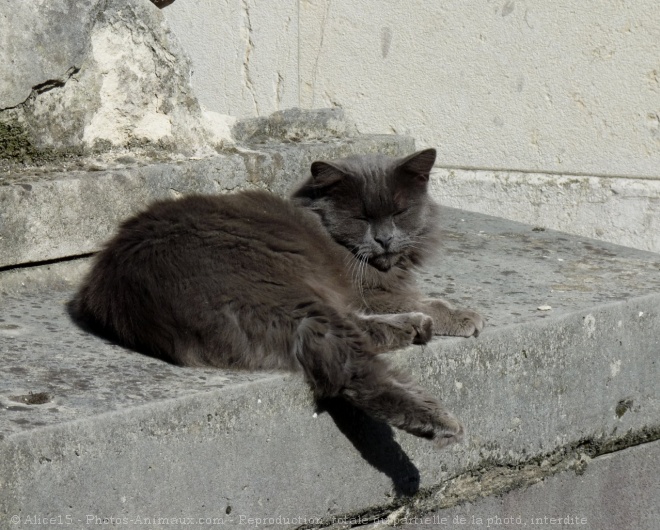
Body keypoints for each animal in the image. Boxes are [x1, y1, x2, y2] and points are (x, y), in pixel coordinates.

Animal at [72, 147, 484, 446]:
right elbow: (424, 298)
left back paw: (416, 330)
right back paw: (440, 419)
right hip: (289, 284)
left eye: (399, 212)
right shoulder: (374, 290)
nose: (384, 239)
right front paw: (465, 316)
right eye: (362, 217)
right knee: (353, 357)